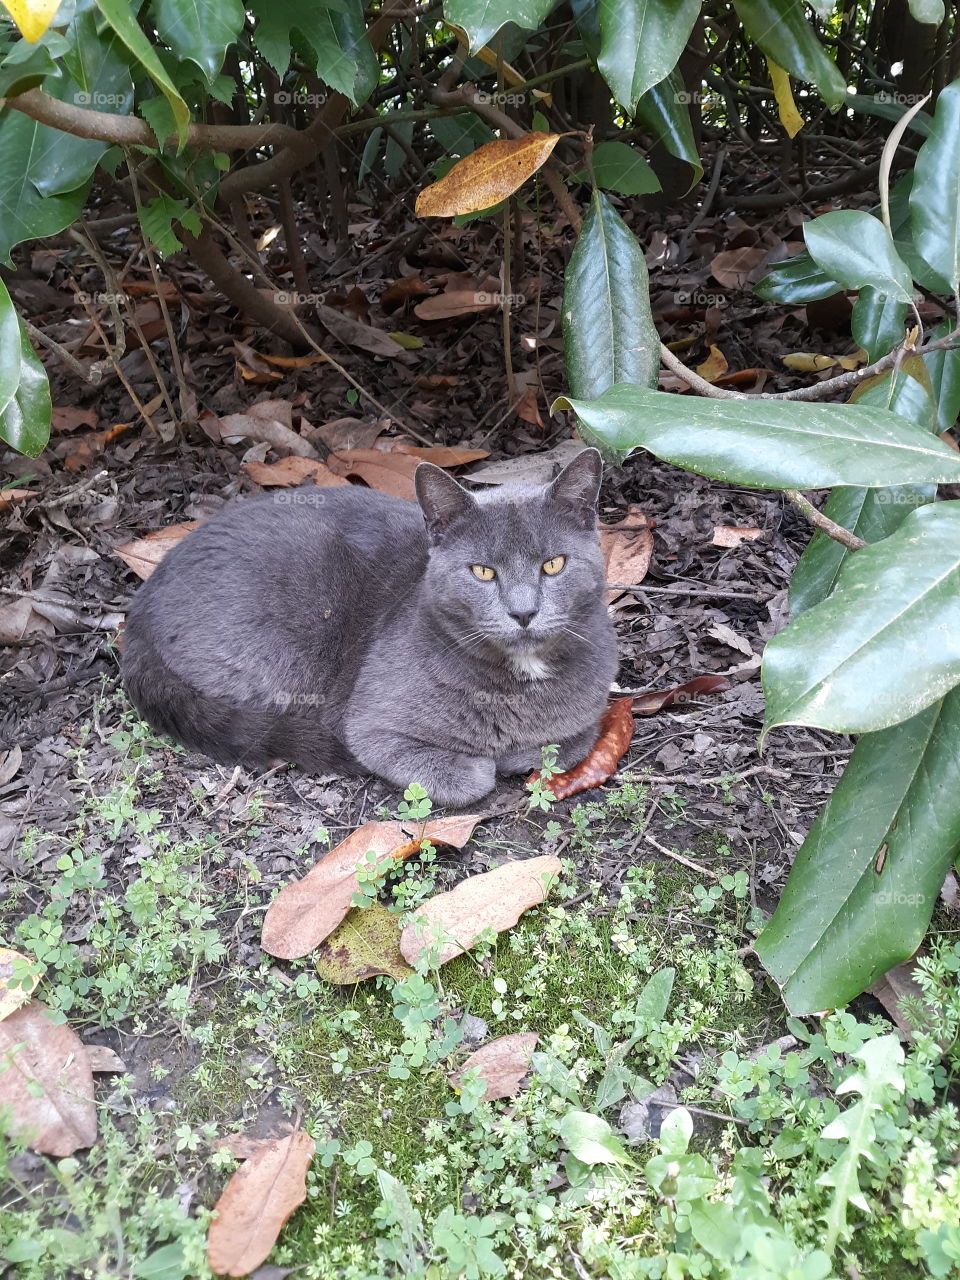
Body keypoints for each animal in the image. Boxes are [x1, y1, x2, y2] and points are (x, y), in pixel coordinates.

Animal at [122, 448, 616, 798]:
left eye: (553, 565)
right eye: (482, 572)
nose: (523, 612)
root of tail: (138, 612)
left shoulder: (594, 708)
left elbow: (573, 742)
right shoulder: (371, 727)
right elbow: (467, 778)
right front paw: (484, 763)